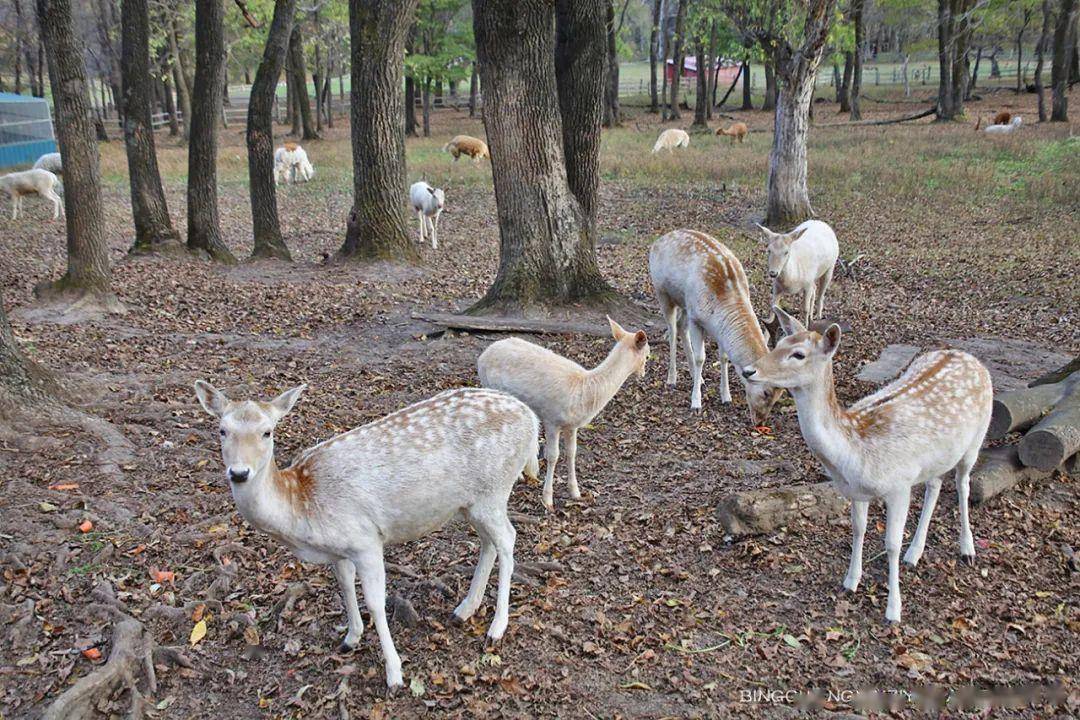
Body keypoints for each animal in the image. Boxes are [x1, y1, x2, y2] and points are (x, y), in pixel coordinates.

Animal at [194, 379, 540, 690]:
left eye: (267, 431)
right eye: (222, 430)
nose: (239, 473)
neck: (302, 511)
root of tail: (532, 419)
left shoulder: (366, 540)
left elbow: (375, 602)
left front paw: (395, 675)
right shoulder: (339, 549)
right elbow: (345, 587)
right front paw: (350, 638)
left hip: (494, 489)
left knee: (508, 539)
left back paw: (497, 626)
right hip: (472, 502)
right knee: (488, 542)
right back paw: (464, 610)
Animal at [648, 227, 786, 425]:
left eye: (778, 396)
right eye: (766, 392)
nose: (760, 422)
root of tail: (659, 239)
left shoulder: (717, 326)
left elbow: (724, 357)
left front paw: (726, 397)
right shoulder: (696, 318)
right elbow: (701, 358)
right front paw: (696, 403)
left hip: (685, 302)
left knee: (681, 326)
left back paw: (697, 378)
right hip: (663, 292)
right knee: (672, 330)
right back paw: (671, 378)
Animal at [747, 310, 989, 626]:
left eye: (798, 354)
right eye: (778, 343)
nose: (749, 370)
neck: (855, 455)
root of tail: (972, 359)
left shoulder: (899, 486)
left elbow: (891, 544)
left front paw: (894, 610)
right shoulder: (856, 492)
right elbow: (858, 529)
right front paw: (850, 582)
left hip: (975, 441)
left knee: (963, 485)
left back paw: (967, 550)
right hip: (937, 458)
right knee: (935, 484)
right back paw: (915, 553)